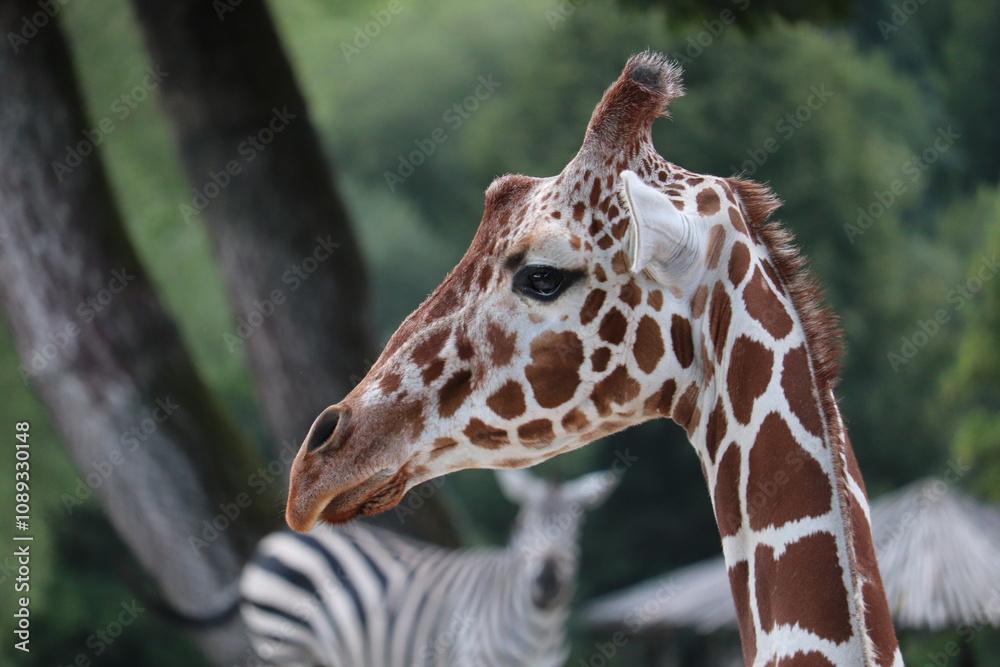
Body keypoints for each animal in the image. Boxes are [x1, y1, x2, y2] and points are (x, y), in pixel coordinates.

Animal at [240, 470, 616, 667]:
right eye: (522, 528)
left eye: (576, 532)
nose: (548, 582)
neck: (538, 630)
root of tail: (279, 537)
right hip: (284, 645)